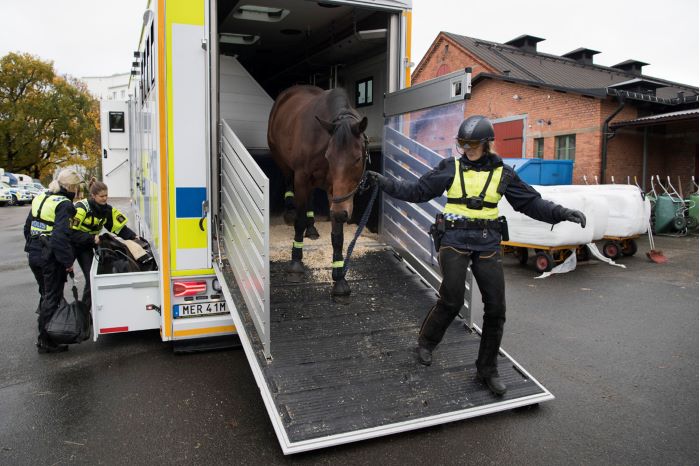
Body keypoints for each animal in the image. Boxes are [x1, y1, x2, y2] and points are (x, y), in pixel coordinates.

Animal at [266, 86, 370, 298]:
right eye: (329, 156)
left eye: (357, 158)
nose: (342, 213)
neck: (321, 138)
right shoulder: (301, 178)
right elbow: (299, 222)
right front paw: (296, 264)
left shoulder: (334, 191)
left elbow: (337, 235)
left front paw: (339, 278)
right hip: (284, 163)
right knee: (289, 184)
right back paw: (291, 214)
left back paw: (312, 228)